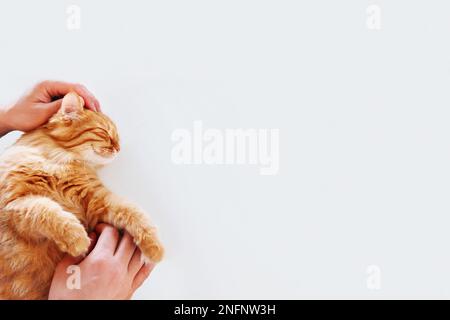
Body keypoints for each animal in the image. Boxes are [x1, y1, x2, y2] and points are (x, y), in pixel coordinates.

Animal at [0, 92, 163, 300]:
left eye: (117, 137)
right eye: (104, 133)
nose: (118, 148)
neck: (62, 161)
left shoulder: (98, 200)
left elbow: (136, 214)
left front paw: (155, 249)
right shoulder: (14, 202)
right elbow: (48, 212)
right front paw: (78, 240)